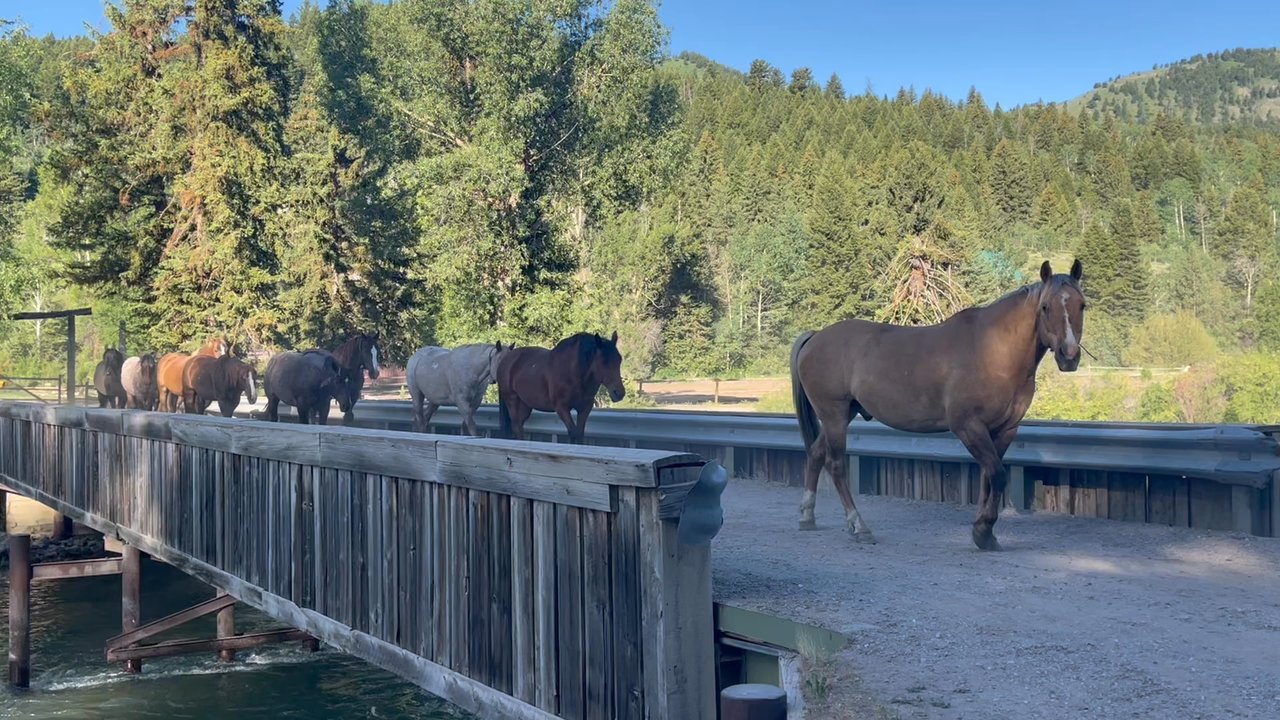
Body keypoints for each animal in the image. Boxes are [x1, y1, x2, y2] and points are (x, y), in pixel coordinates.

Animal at [496, 331, 624, 444]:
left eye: (619, 359)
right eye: (604, 361)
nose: (619, 393)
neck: (574, 372)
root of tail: (505, 360)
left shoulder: (584, 408)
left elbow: (579, 434)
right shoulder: (561, 407)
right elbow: (573, 432)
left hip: (525, 406)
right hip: (512, 400)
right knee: (516, 426)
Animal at [790, 260, 1085, 551]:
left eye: (1082, 304)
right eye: (1045, 307)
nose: (1069, 355)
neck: (992, 352)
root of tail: (815, 337)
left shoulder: (1004, 430)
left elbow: (988, 479)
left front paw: (986, 532)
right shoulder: (968, 427)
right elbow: (997, 475)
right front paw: (982, 530)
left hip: (842, 414)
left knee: (816, 454)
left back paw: (807, 516)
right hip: (834, 415)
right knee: (836, 464)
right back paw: (859, 526)